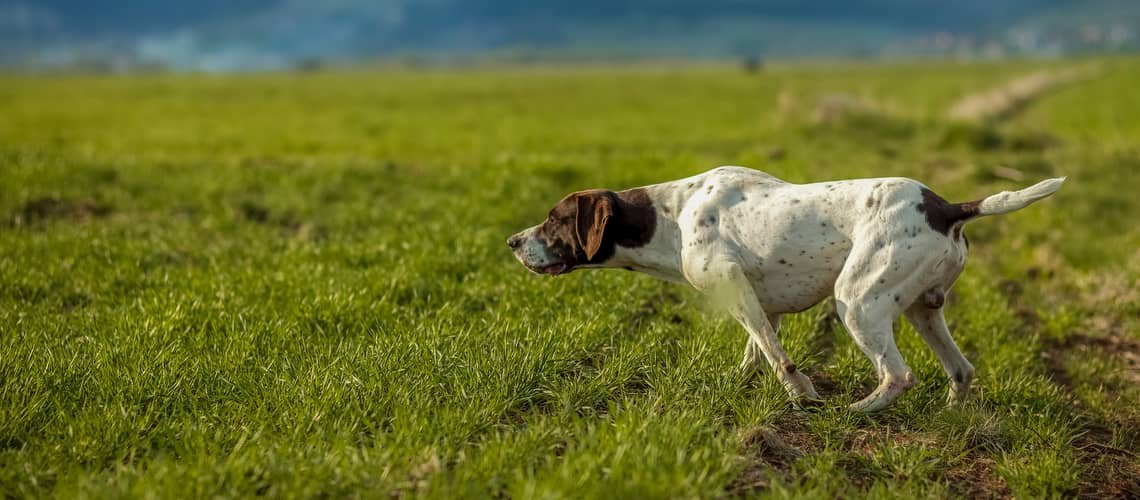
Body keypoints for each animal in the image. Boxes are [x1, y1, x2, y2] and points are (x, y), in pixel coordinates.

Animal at [508, 166, 1057, 412]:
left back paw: (854, 413)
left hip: (857, 302)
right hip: (924, 311)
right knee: (961, 371)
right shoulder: (759, 303)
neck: (671, 218)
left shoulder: (734, 288)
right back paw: (953, 416)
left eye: (554, 220)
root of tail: (947, 207)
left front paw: (802, 395)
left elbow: (778, 358)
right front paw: (734, 388)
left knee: (898, 376)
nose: (512, 242)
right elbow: (757, 352)